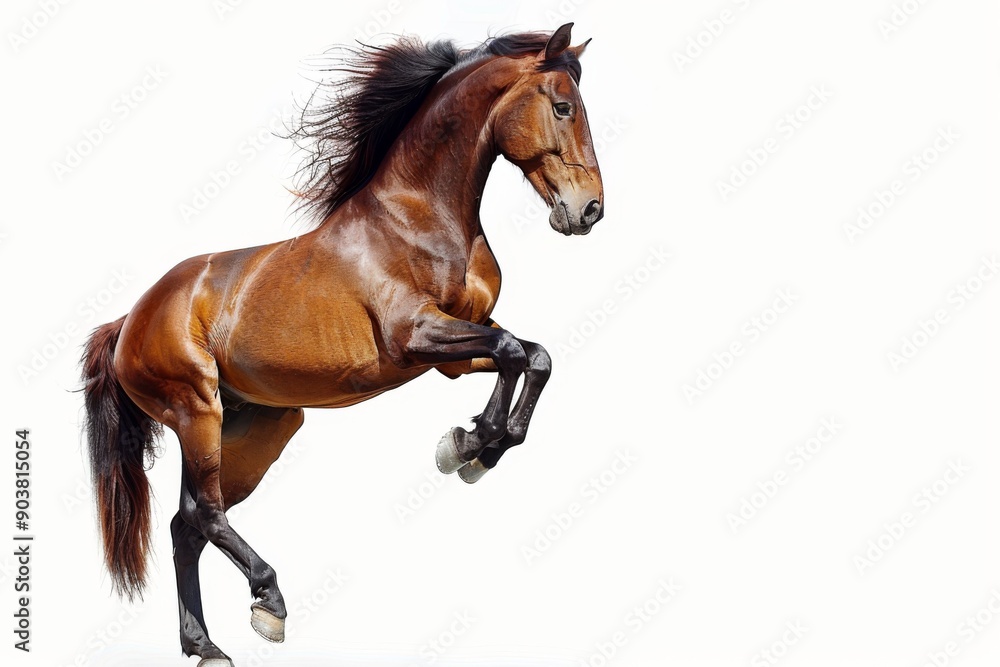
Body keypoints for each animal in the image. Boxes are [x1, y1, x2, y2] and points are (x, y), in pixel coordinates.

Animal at [81, 23, 604, 666]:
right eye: (563, 107)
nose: (589, 210)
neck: (417, 218)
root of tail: (132, 317)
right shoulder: (416, 337)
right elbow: (511, 350)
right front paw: (468, 445)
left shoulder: (452, 358)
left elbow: (534, 356)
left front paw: (478, 448)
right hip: (196, 411)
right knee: (206, 514)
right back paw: (269, 603)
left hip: (255, 428)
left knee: (188, 526)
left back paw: (206, 645)